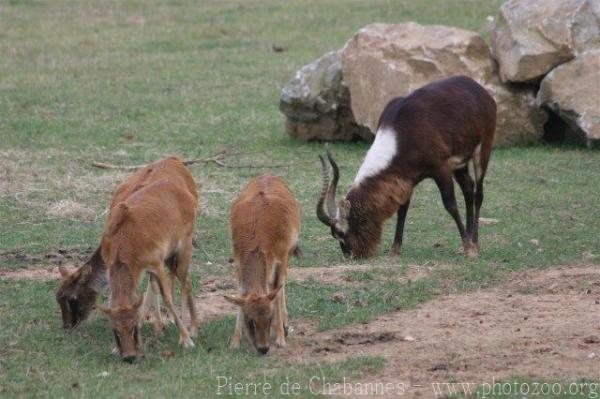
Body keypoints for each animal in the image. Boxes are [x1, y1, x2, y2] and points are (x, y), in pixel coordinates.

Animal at [98, 158, 199, 364]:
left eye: (133, 327)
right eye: (115, 330)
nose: (129, 356)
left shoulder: (156, 261)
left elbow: (167, 297)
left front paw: (186, 340)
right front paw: (114, 348)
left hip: (184, 245)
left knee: (185, 280)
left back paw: (193, 328)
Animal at [225, 176, 300, 356]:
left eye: (270, 317)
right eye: (250, 320)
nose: (263, 348)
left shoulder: (281, 256)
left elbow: (277, 290)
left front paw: (280, 338)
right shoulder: (238, 261)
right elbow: (241, 293)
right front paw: (235, 342)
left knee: (280, 284)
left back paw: (285, 327)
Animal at [316, 76, 494, 260]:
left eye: (340, 232)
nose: (350, 255)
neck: (400, 133)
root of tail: (475, 86)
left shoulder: (441, 169)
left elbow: (450, 205)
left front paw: (469, 249)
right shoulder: (406, 178)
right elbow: (402, 208)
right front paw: (394, 249)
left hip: (483, 149)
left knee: (478, 193)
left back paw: (474, 243)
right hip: (460, 163)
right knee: (468, 187)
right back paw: (471, 240)